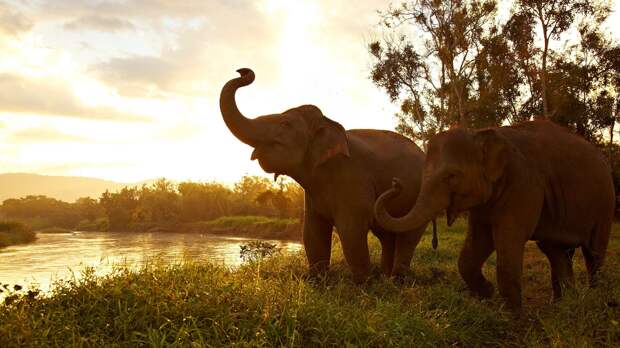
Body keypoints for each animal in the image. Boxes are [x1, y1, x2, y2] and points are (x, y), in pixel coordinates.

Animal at [219, 68, 432, 282]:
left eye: (285, 123)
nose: (242, 71)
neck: (328, 123)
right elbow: (312, 232)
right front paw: (317, 281)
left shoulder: (352, 178)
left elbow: (351, 230)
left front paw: (363, 283)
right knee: (388, 235)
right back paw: (386, 277)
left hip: (420, 196)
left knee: (407, 236)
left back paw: (396, 279)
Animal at [372, 121, 616, 312]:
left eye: (451, 176)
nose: (396, 183)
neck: (481, 133)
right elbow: (476, 244)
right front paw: (487, 295)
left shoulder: (523, 184)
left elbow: (508, 239)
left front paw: (512, 317)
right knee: (556, 251)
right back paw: (562, 305)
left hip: (605, 204)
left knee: (593, 253)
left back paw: (595, 301)